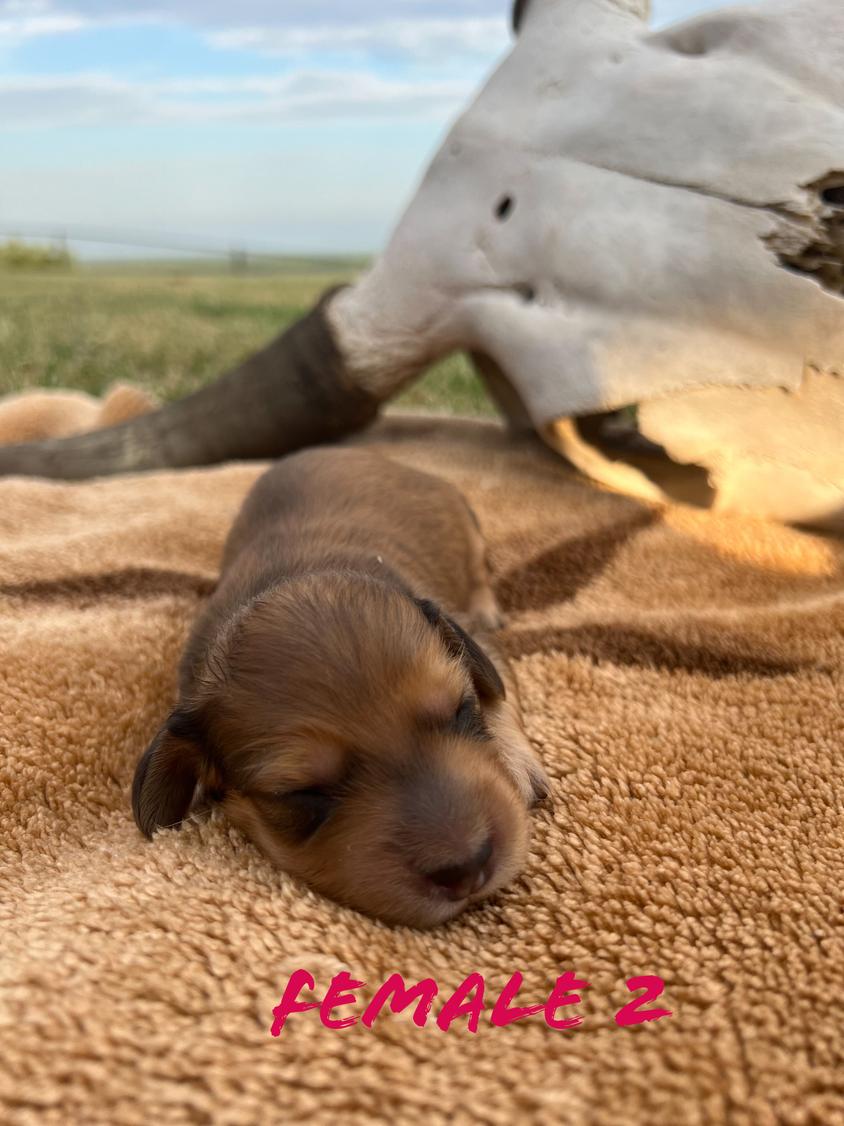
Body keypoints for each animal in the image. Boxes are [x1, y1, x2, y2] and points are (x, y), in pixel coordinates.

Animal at [132, 443, 549, 927]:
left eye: (461, 709)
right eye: (303, 793)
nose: (467, 870)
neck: (297, 571)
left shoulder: (473, 638)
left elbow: (497, 689)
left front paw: (517, 763)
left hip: (464, 521)